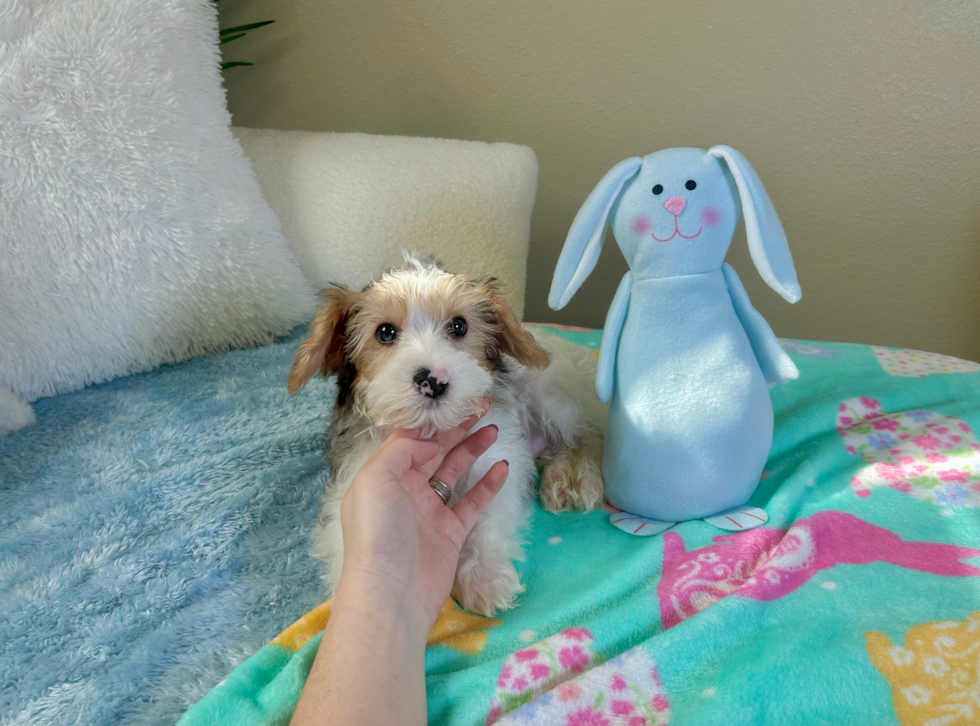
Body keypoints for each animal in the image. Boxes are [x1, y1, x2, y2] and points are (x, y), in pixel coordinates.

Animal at [286, 253, 604, 616]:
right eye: (385, 332)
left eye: (459, 326)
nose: (433, 380)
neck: (434, 433)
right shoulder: (355, 480)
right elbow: (345, 542)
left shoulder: (497, 457)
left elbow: (489, 517)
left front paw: (482, 575)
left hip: (553, 393)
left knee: (590, 436)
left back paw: (578, 478)